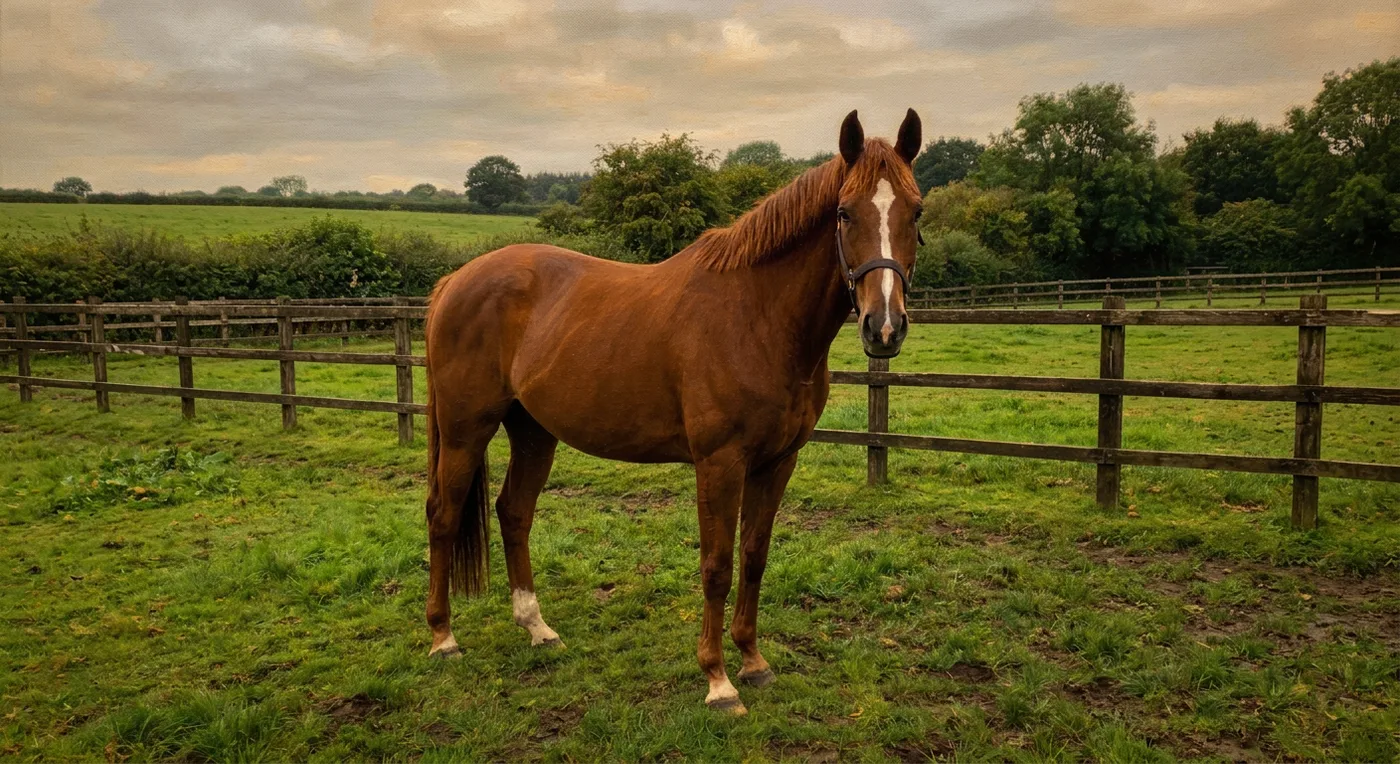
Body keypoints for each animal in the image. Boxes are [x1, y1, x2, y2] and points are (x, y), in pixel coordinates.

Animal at [423, 109, 923, 715]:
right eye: (845, 213)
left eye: (916, 210)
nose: (884, 327)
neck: (757, 317)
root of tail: (455, 280)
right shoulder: (720, 463)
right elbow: (717, 566)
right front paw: (719, 681)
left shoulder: (778, 461)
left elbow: (754, 556)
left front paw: (753, 661)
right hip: (465, 430)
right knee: (443, 515)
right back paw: (443, 638)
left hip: (534, 431)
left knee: (514, 512)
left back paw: (537, 628)